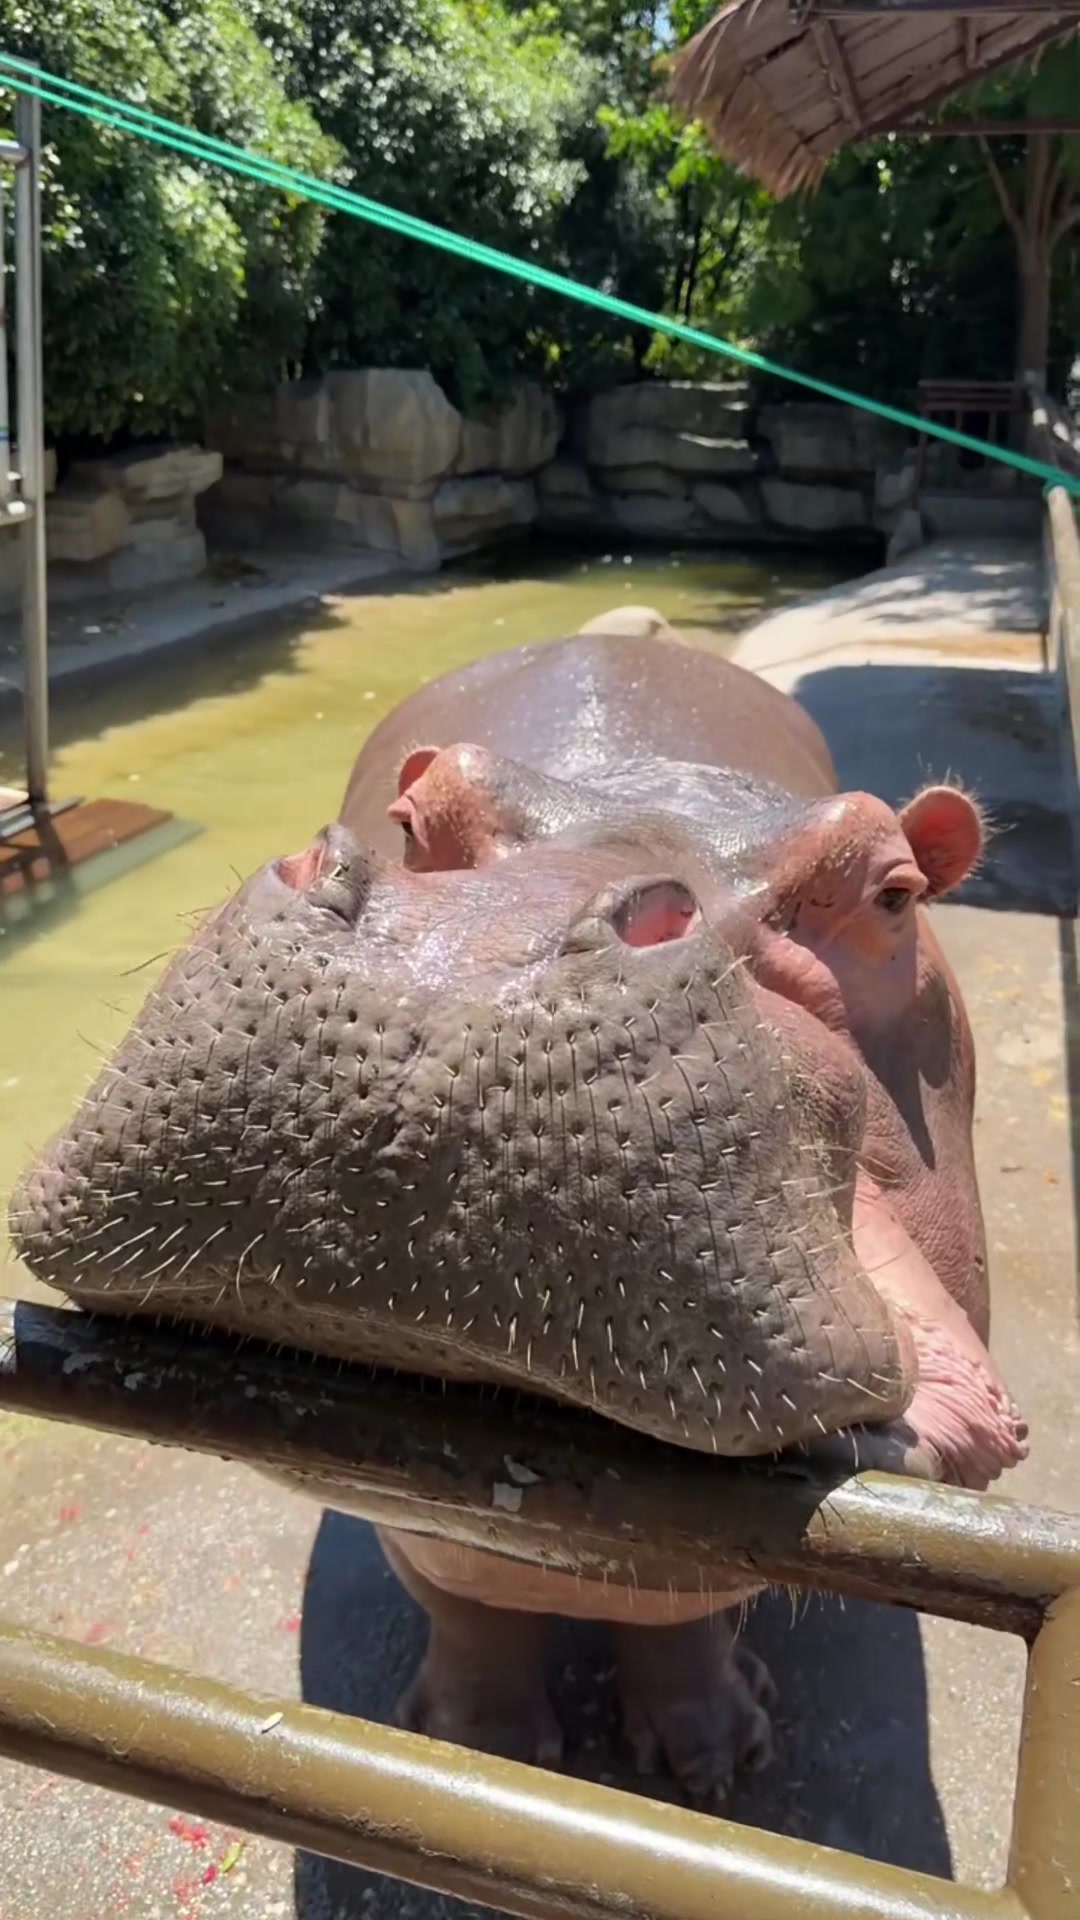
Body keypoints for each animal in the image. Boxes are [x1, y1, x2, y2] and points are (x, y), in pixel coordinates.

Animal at [10, 609, 1026, 1809]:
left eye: (894, 891)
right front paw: (481, 1743)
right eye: (415, 813)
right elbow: (467, 1611)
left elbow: (689, 1630)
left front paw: (713, 1763)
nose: (457, 949)